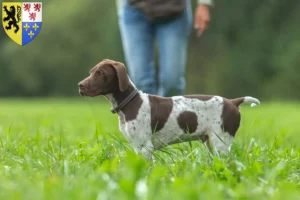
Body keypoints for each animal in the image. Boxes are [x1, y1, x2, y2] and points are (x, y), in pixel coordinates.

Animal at [78, 59, 258, 161]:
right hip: (211, 143)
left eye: (101, 73)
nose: (80, 85)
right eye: (91, 72)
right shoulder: (137, 147)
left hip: (221, 142)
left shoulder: (145, 147)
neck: (130, 104)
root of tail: (233, 102)